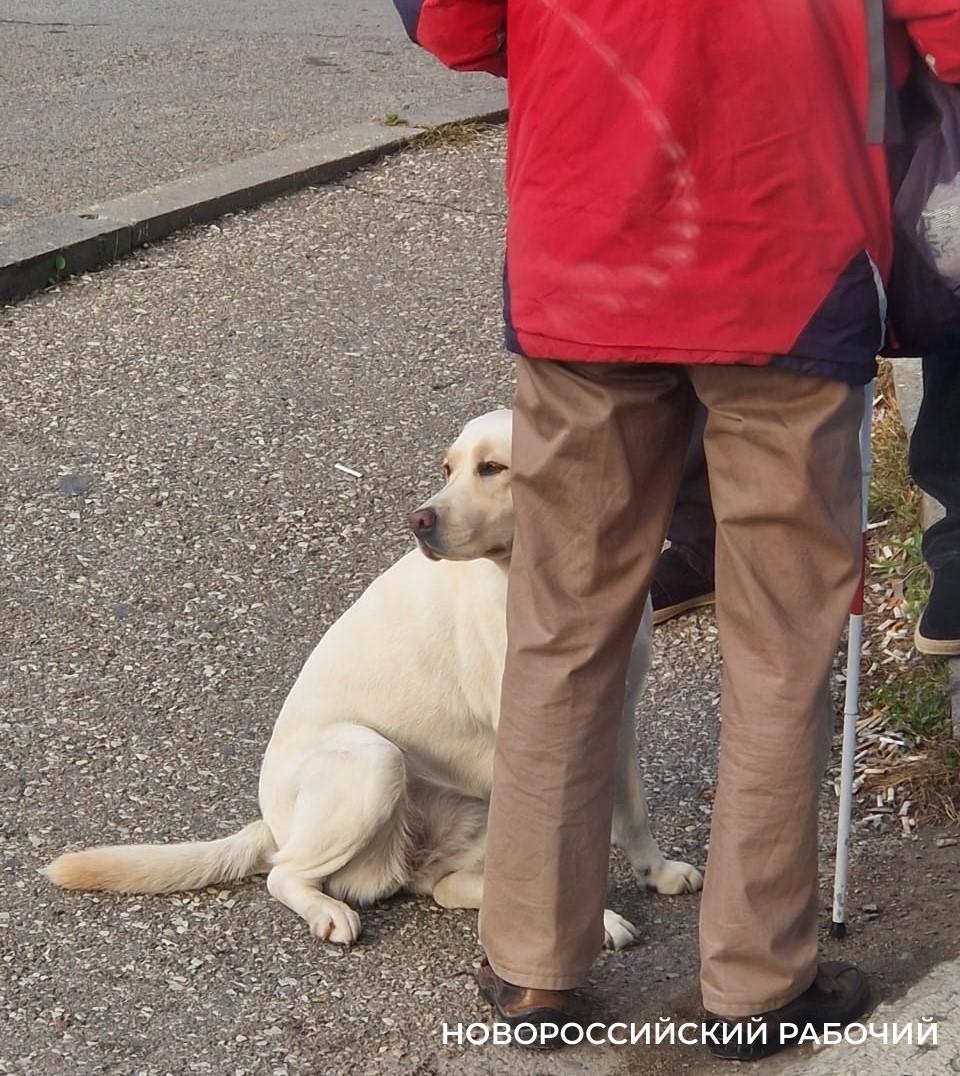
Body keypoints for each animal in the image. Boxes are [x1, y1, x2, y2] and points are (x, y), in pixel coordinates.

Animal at [44, 408, 701, 951]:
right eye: (448, 468)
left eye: (493, 468)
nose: (419, 520)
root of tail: (272, 822)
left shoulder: (618, 717)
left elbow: (632, 813)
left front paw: (657, 873)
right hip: (375, 760)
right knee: (285, 872)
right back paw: (327, 912)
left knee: (449, 887)